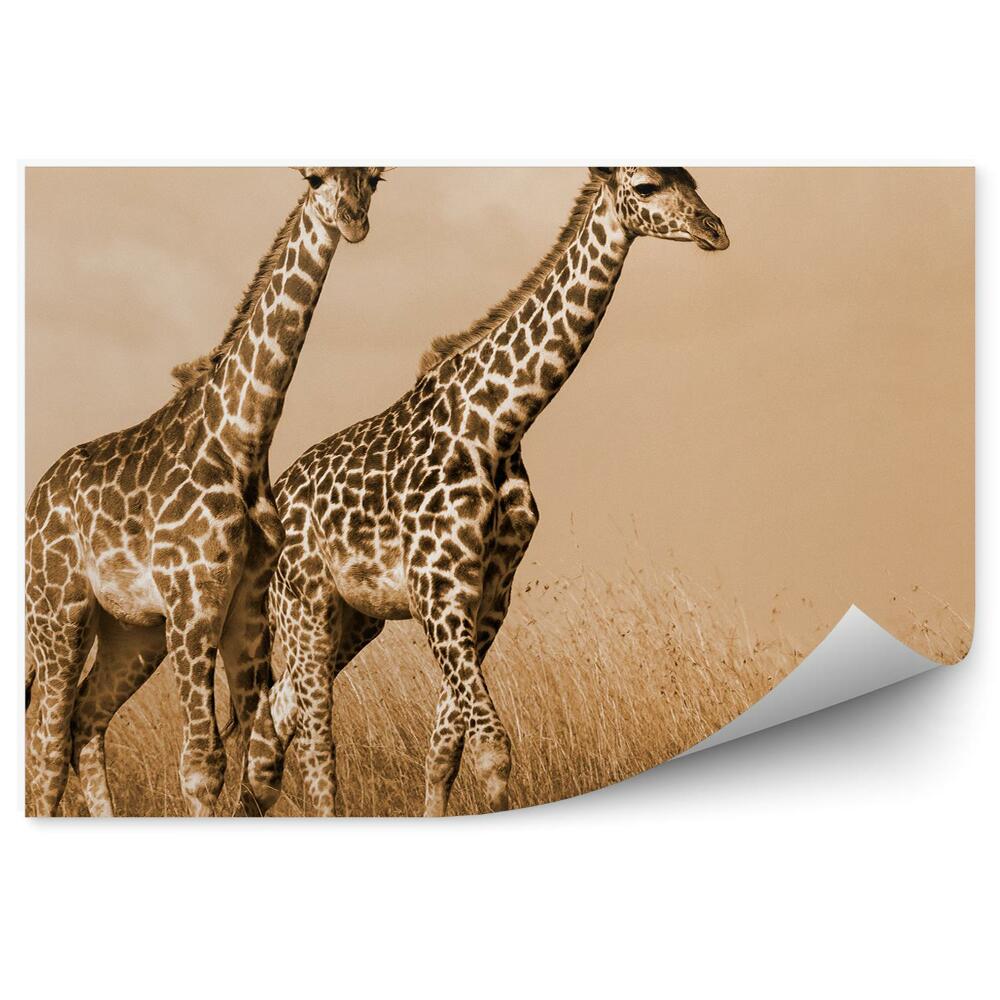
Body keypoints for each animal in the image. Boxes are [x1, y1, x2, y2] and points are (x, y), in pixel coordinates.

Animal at [24, 166, 385, 817]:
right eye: (314, 176)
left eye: (375, 178)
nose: (352, 220)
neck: (242, 438)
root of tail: (32, 503)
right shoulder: (195, 604)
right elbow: (201, 766)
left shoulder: (246, 607)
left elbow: (260, 762)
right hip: (58, 612)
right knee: (45, 746)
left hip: (133, 630)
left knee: (84, 721)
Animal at [251, 167, 729, 817]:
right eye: (647, 186)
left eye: (694, 178)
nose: (715, 230)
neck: (501, 423)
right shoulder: (437, 589)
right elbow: (491, 748)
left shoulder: (490, 593)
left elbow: (444, 749)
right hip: (307, 607)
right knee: (312, 736)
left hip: (356, 619)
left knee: (275, 720)